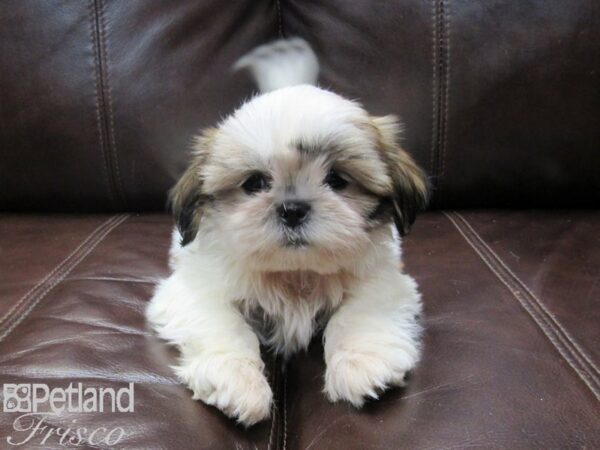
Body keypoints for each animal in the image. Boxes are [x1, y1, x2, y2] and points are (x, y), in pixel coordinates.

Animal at [148, 37, 428, 426]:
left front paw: (364, 363)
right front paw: (236, 379)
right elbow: (226, 323)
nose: (292, 208)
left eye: (337, 180)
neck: (295, 274)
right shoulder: (192, 290)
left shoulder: (385, 280)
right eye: (254, 183)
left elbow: (356, 313)